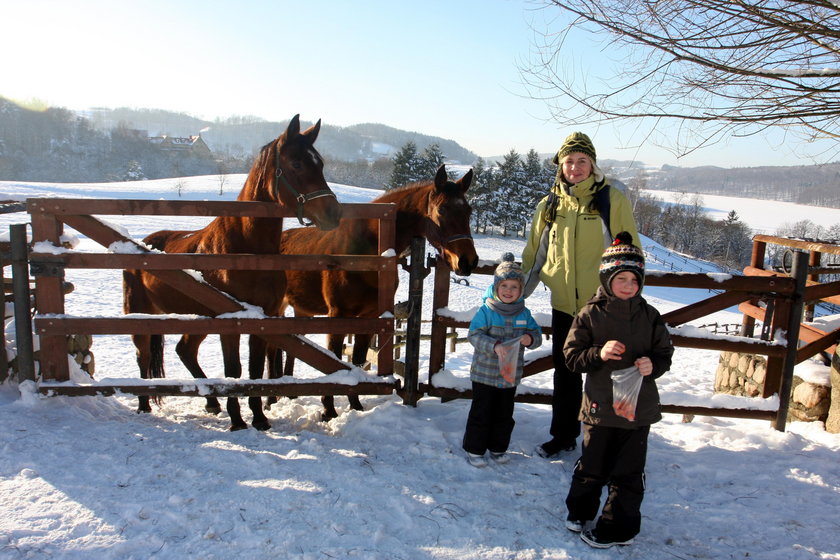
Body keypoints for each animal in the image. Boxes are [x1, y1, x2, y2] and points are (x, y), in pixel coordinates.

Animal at [120, 112, 342, 428]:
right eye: (297, 164)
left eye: (320, 163)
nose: (334, 213)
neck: (247, 249)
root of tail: (144, 243)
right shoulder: (231, 322)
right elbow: (234, 370)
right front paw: (238, 421)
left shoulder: (264, 318)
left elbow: (255, 370)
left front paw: (259, 418)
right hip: (140, 314)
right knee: (142, 355)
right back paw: (144, 405)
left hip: (196, 319)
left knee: (184, 351)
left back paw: (212, 403)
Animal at [272, 164, 476, 418]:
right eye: (442, 209)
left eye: (468, 211)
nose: (468, 261)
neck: (365, 251)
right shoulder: (339, 315)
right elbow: (335, 359)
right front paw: (329, 410)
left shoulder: (368, 317)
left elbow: (357, 360)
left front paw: (355, 406)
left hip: (301, 310)